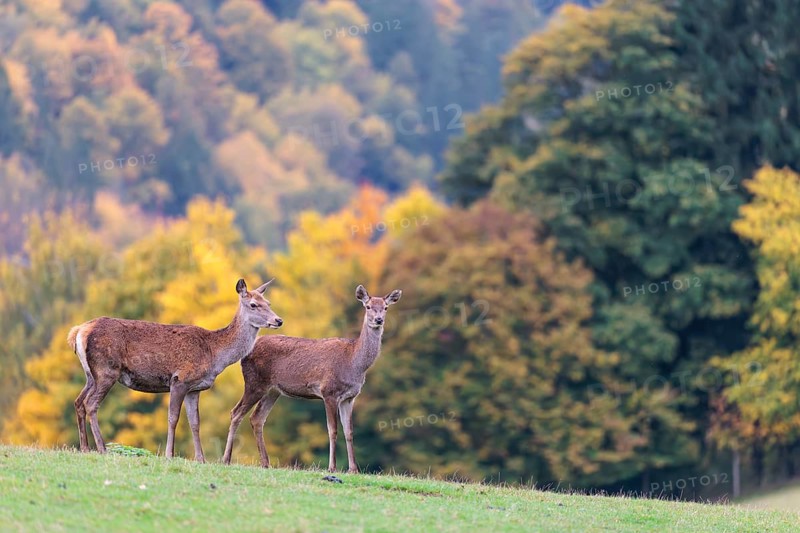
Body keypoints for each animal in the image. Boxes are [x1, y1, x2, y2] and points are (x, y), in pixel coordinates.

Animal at [67, 278, 283, 462]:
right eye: (253, 304)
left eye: (268, 302)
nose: (278, 320)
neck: (214, 354)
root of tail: (79, 331)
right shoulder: (180, 379)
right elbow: (173, 418)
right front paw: (169, 454)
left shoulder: (195, 388)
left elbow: (195, 422)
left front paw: (201, 459)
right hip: (107, 370)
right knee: (91, 403)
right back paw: (102, 448)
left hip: (91, 375)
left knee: (78, 401)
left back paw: (85, 447)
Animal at [222, 284, 401, 473]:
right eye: (368, 306)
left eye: (386, 307)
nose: (379, 320)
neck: (354, 362)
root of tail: (245, 353)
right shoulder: (329, 391)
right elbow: (333, 430)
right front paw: (332, 468)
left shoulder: (350, 397)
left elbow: (349, 431)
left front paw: (354, 469)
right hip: (254, 383)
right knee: (236, 413)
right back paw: (226, 459)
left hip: (272, 390)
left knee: (257, 418)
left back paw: (265, 463)